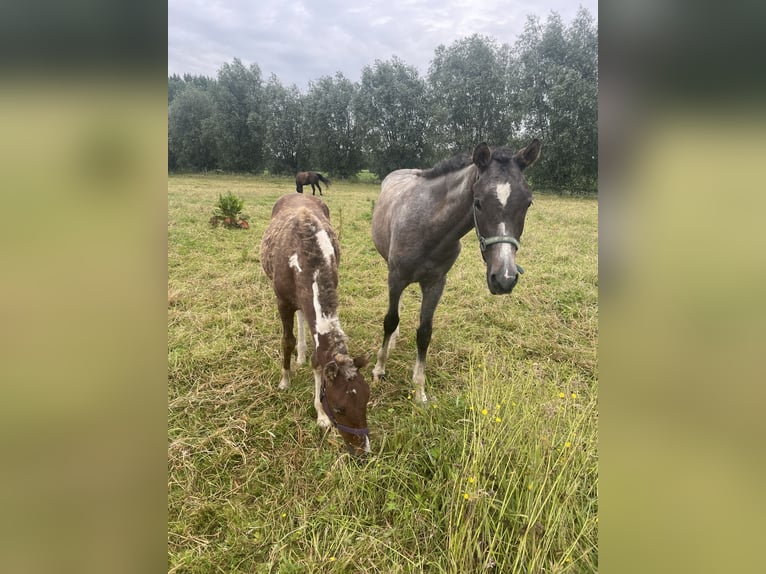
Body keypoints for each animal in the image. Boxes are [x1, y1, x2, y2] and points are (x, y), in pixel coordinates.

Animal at [260, 196, 372, 456]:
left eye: (366, 400)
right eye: (339, 408)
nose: (363, 451)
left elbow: (318, 359)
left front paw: (320, 415)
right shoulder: (282, 301)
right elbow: (286, 341)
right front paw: (285, 381)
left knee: (302, 315)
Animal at [370, 138, 540, 404]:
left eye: (528, 203)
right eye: (478, 202)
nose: (504, 279)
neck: (429, 227)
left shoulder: (436, 283)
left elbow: (424, 332)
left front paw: (419, 391)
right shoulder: (396, 277)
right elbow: (389, 320)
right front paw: (379, 370)